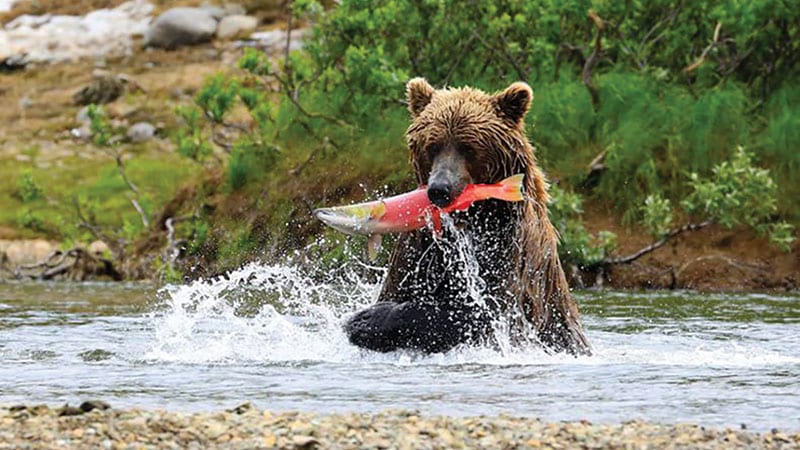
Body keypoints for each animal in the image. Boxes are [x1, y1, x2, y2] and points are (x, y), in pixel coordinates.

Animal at [342, 80, 588, 356]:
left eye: (468, 147)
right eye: (433, 145)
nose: (440, 188)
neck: (472, 219)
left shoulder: (509, 249)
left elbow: (480, 313)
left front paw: (367, 319)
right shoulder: (419, 248)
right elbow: (399, 286)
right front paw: (362, 320)